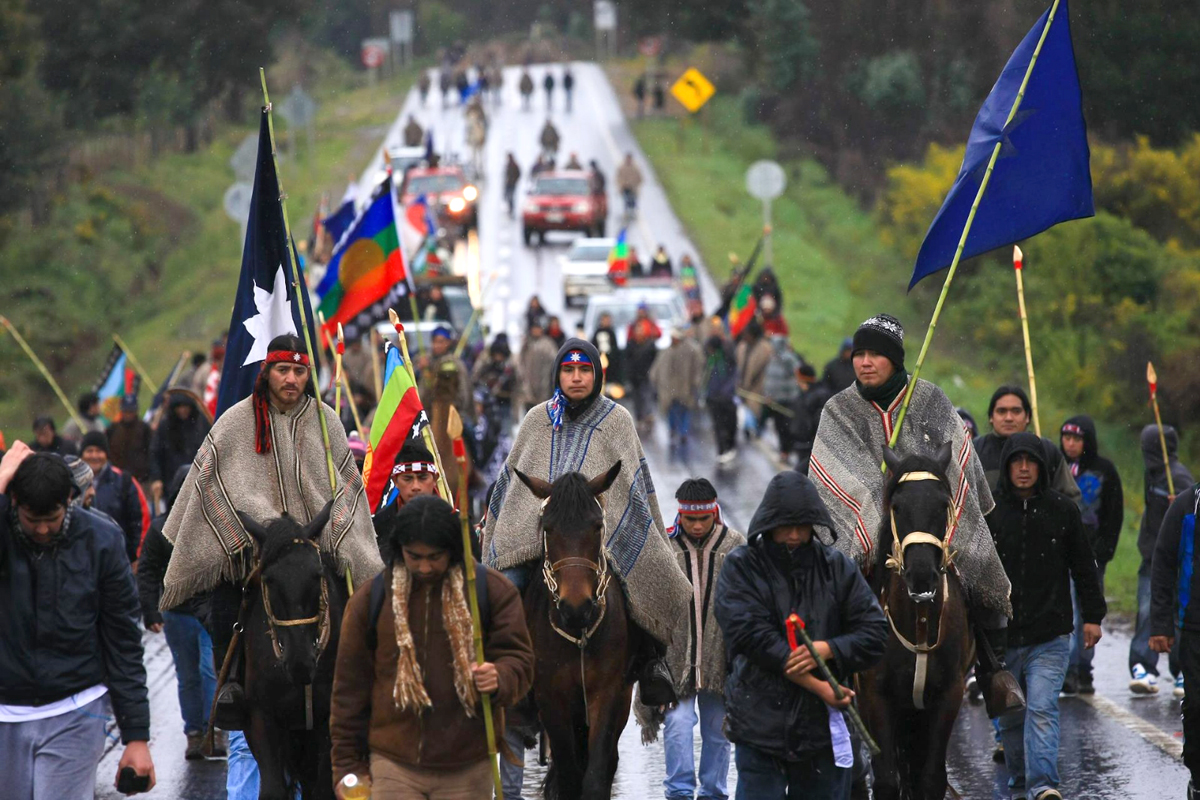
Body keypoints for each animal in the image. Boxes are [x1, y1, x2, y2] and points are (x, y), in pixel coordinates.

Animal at [232, 503, 348, 796]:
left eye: (318, 575)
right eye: (269, 579)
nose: (300, 663)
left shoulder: (327, 723)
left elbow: (323, 789)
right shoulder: (261, 719)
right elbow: (273, 789)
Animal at [516, 462, 643, 800]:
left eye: (597, 526)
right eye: (548, 528)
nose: (576, 607)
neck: (579, 635)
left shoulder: (607, 694)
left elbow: (596, 774)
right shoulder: (551, 698)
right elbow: (570, 777)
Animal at [854, 448, 974, 800]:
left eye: (943, 505)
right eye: (897, 506)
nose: (921, 575)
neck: (918, 623)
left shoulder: (948, 695)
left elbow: (931, 779)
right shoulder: (875, 696)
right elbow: (885, 780)